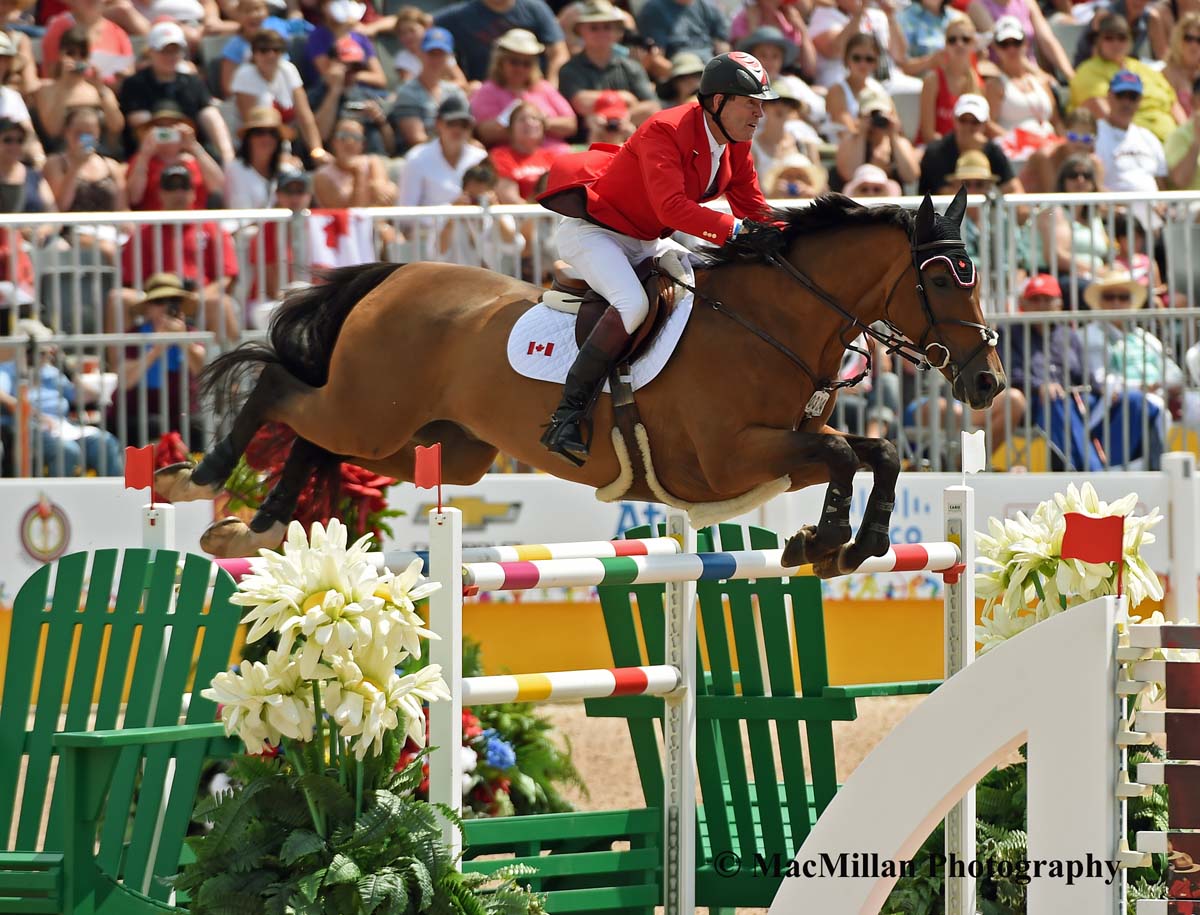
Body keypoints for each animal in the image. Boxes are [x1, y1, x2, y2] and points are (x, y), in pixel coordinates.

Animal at [157, 188, 1003, 576]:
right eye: (940, 279)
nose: (990, 381)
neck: (773, 320)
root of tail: (396, 275)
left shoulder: (782, 444)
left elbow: (878, 452)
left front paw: (860, 541)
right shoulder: (730, 458)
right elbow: (841, 455)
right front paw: (822, 539)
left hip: (431, 444)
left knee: (317, 443)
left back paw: (252, 528)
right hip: (373, 411)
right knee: (277, 390)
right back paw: (195, 479)